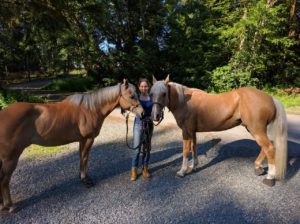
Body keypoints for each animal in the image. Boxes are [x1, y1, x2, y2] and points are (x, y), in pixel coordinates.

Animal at [0, 79, 144, 213]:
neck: (91, 109)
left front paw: (81, 177)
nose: (143, 113)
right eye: (132, 96)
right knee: (4, 180)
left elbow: (81, 158)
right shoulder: (88, 139)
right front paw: (86, 180)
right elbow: (85, 158)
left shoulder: (82, 140)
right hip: (11, 158)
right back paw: (10, 206)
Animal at [151, 75, 288, 187]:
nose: (155, 116)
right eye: (151, 94)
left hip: (257, 130)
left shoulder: (186, 132)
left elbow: (185, 151)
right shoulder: (192, 132)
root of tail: (270, 98)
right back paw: (258, 168)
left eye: (164, 93)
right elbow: (194, 148)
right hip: (254, 129)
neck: (184, 102)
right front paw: (193, 166)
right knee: (265, 147)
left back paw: (270, 177)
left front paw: (182, 171)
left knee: (269, 148)